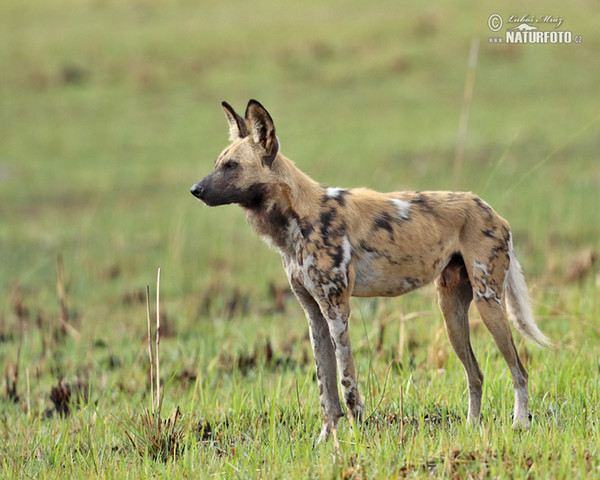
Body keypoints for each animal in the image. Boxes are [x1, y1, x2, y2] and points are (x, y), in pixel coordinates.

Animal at [190, 99, 552, 444]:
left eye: (232, 166)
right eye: (217, 163)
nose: (195, 190)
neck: (297, 219)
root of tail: (489, 208)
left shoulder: (337, 311)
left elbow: (348, 385)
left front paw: (356, 436)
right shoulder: (315, 316)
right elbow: (326, 390)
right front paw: (325, 439)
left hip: (489, 303)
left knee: (520, 371)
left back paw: (520, 424)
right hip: (451, 313)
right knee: (475, 374)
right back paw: (471, 427)